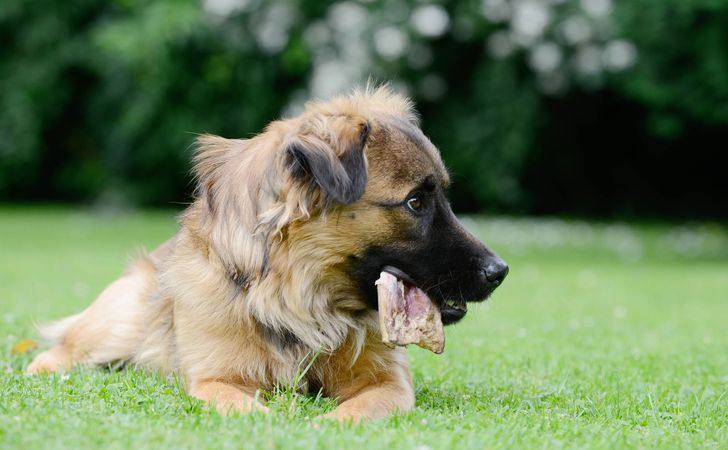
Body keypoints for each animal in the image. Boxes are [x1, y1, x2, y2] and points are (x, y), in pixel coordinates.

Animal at [27, 85, 506, 422]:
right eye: (415, 202)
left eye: (442, 196)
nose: (499, 271)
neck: (299, 299)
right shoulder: (214, 379)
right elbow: (245, 408)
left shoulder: (387, 381)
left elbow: (359, 409)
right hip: (117, 325)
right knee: (60, 351)